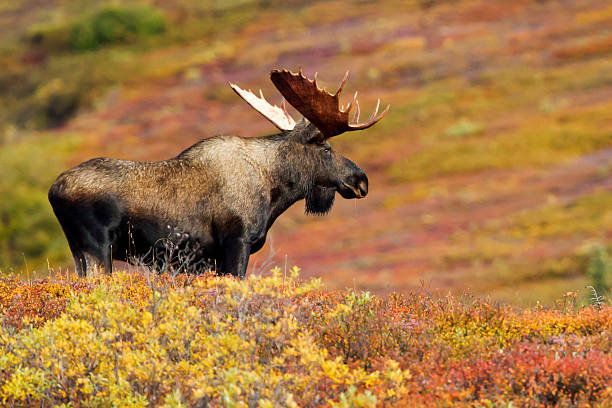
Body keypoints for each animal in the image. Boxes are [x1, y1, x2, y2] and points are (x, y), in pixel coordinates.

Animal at [50, 69, 390, 278]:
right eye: (327, 149)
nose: (361, 181)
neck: (273, 192)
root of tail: (53, 190)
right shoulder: (236, 243)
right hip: (97, 248)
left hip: (78, 249)